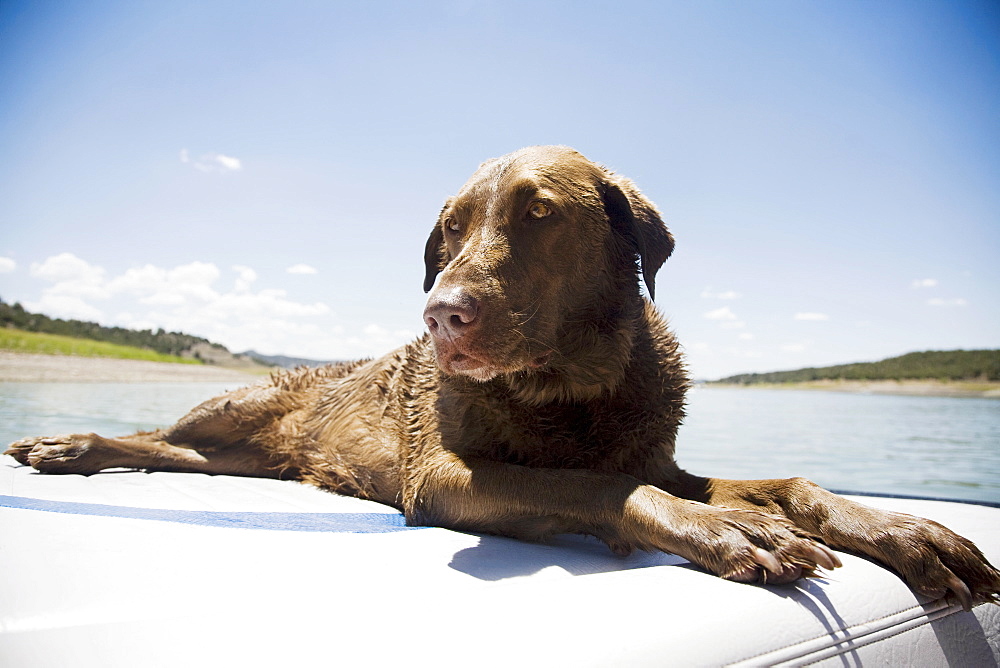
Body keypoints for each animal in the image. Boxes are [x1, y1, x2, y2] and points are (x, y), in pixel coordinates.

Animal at [9, 146, 1000, 612]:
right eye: (448, 229)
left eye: (541, 214)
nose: (438, 314)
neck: (573, 388)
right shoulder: (444, 475)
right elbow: (598, 486)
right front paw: (730, 530)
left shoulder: (659, 453)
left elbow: (787, 482)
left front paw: (906, 531)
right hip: (236, 399)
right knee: (154, 438)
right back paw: (65, 446)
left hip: (242, 455)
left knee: (178, 458)